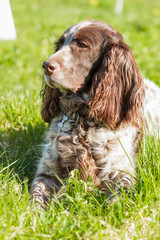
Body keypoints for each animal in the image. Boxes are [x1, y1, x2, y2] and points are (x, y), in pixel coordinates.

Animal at [30, 19, 160, 205]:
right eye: (60, 44)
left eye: (83, 45)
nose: (46, 65)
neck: (82, 119)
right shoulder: (48, 170)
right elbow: (36, 200)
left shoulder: (120, 171)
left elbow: (118, 202)